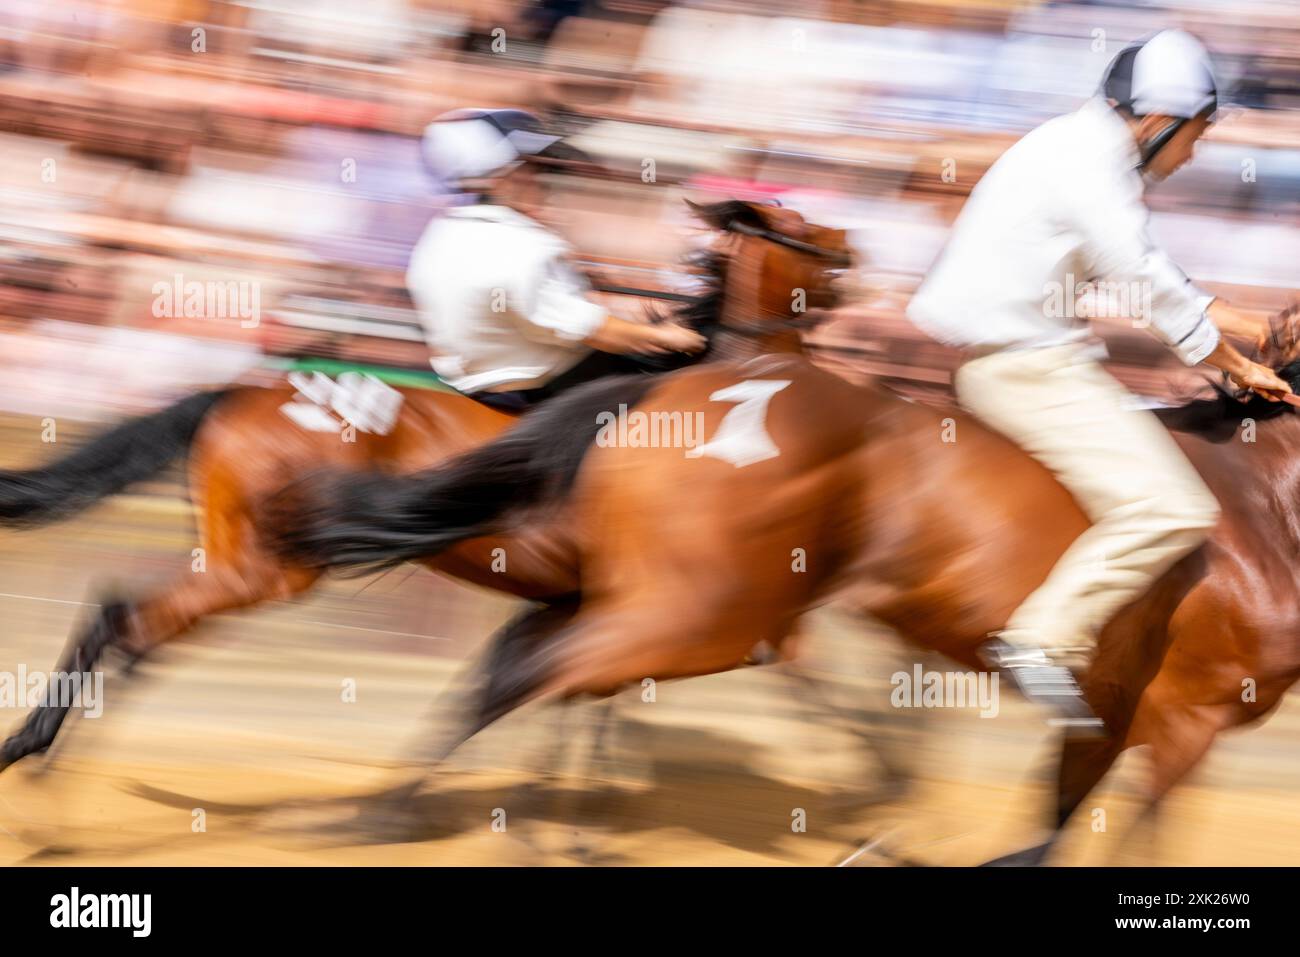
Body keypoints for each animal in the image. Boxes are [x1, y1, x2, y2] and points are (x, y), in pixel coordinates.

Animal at [0, 197, 852, 774]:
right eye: (795, 221)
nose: (850, 243)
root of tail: (236, 393)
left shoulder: (602, 605)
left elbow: (582, 701)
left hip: (245, 558)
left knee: (134, 631)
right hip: (268, 567)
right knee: (126, 619)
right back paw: (40, 757)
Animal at [263, 300, 1300, 868]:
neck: (1260, 499)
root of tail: (669, 391)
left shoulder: (1114, 712)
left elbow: (1061, 822)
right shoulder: (1187, 714)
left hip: (673, 607)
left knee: (521, 662)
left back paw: (396, 812)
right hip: (702, 615)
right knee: (543, 669)